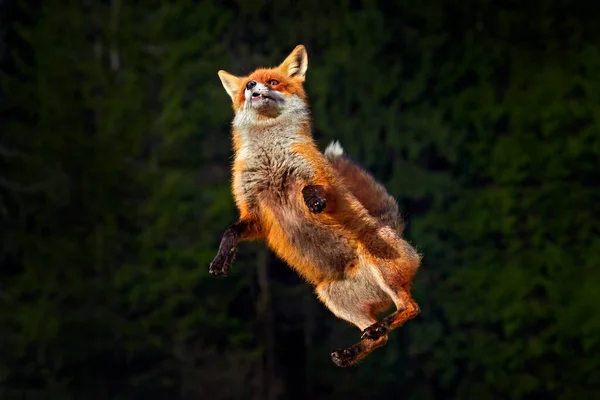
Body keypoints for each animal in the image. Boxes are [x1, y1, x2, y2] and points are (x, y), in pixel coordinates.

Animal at [211, 45, 422, 368]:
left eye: (273, 81)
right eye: (247, 83)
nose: (251, 86)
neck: (271, 157)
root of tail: (395, 231)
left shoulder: (324, 180)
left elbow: (314, 187)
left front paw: (312, 200)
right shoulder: (255, 212)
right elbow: (231, 231)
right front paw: (222, 258)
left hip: (374, 257)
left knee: (411, 308)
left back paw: (384, 324)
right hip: (333, 297)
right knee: (380, 336)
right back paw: (353, 351)